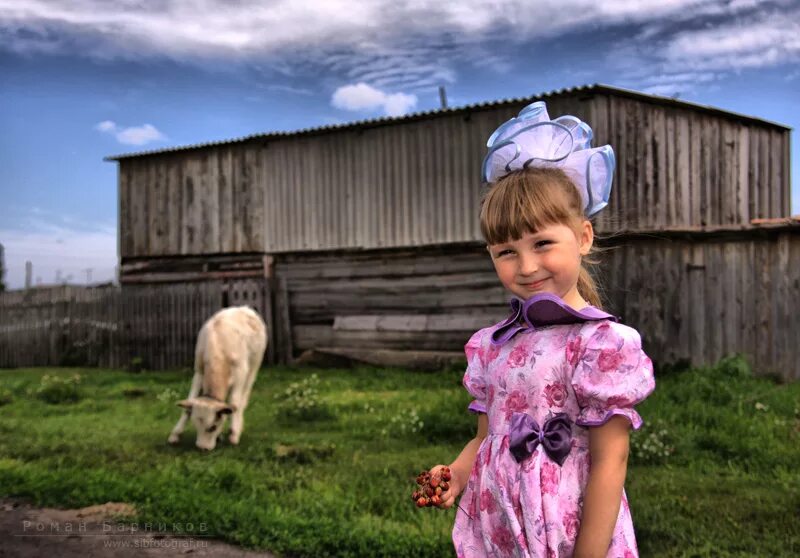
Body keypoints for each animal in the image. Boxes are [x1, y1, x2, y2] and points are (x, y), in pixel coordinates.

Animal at [169, 308, 268, 452]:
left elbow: (235, 403)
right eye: (195, 425)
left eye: (212, 427)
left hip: (254, 367)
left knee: (243, 399)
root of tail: (244, 308)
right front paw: (175, 434)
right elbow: (189, 404)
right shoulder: (198, 372)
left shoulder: (240, 374)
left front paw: (234, 434)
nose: (202, 448)